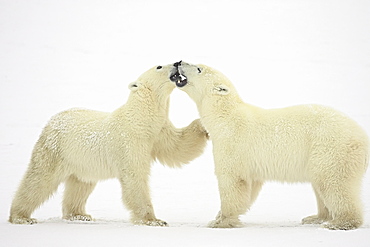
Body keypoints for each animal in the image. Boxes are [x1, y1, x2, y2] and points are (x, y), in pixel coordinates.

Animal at [8, 63, 208, 226]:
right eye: (159, 66)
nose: (176, 62)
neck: (141, 119)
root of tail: (52, 120)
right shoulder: (131, 141)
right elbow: (135, 176)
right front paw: (153, 220)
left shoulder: (158, 133)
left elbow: (178, 146)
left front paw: (203, 126)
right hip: (54, 150)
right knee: (39, 179)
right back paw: (21, 217)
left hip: (82, 161)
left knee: (80, 185)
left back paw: (79, 215)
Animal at [171, 60, 370, 231]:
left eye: (199, 68)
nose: (178, 62)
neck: (224, 117)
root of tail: (362, 136)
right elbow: (250, 185)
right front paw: (222, 217)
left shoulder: (232, 143)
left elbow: (232, 180)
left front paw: (220, 221)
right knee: (321, 185)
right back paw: (315, 217)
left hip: (332, 148)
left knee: (333, 183)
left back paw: (339, 222)